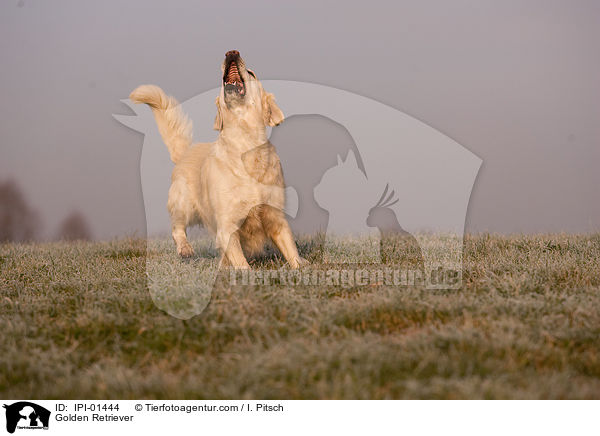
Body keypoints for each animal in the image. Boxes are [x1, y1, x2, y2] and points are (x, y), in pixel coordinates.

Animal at [132, 51, 310, 270]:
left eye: (251, 73)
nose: (231, 52)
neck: (245, 147)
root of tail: (186, 151)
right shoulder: (227, 225)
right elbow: (241, 263)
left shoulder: (276, 218)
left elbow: (291, 249)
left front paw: (301, 266)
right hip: (183, 202)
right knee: (177, 227)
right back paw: (185, 248)